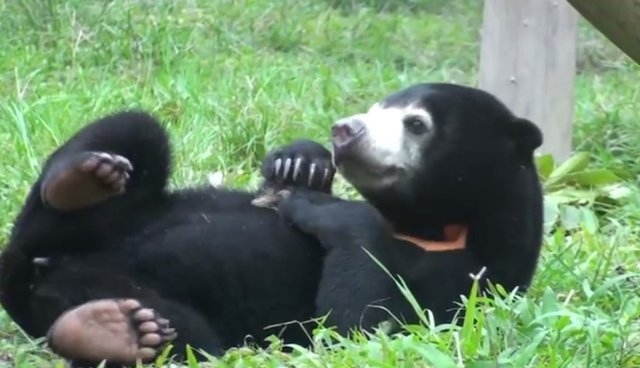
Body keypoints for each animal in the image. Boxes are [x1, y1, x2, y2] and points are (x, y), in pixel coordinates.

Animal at [0, 82, 544, 366]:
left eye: (415, 124)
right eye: (375, 109)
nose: (344, 130)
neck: (432, 226)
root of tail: (38, 276)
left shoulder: (462, 289)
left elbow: (363, 328)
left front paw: (316, 205)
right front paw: (299, 164)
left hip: (141, 298)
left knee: (189, 336)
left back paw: (111, 330)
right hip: (86, 223)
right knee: (135, 130)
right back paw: (81, 181)